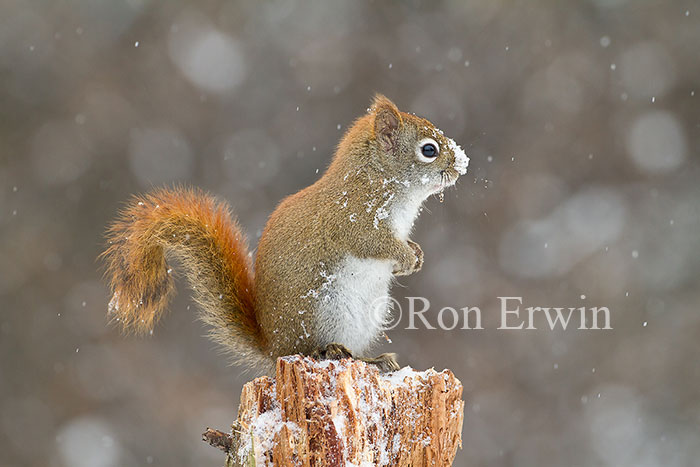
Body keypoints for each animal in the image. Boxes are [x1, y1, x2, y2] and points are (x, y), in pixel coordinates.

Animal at [102, 95, 469, 374]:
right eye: (429, 150)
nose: (461, 165)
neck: (377, 177)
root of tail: (273, 347)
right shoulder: (354, 219)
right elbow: (373, 242)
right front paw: (406, 257)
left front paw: (415, 254)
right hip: (325, 313)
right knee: (309, 349)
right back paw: (332, 352)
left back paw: (374, 359)